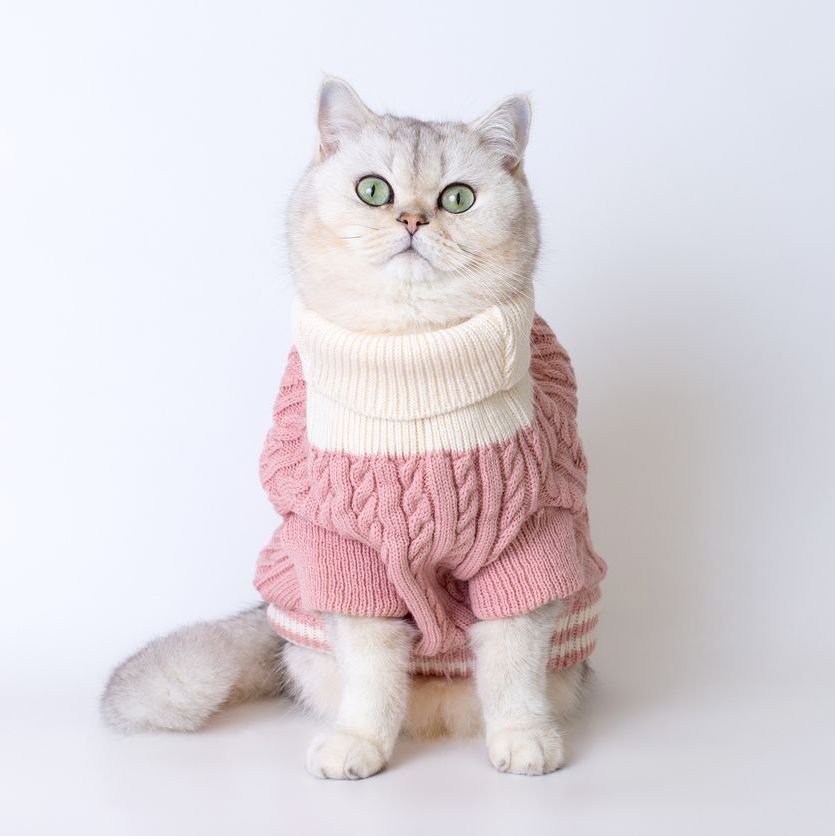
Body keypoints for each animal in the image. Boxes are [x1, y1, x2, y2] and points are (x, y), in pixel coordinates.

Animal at [101, 77, 604, 780]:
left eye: (458, 198)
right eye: (374, 190)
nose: (413, 220)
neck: (412, 359)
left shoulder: (529, 544)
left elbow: (512, 663)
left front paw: (523, 734)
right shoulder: (344, 554)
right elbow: (371, 672)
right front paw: (360, 741)